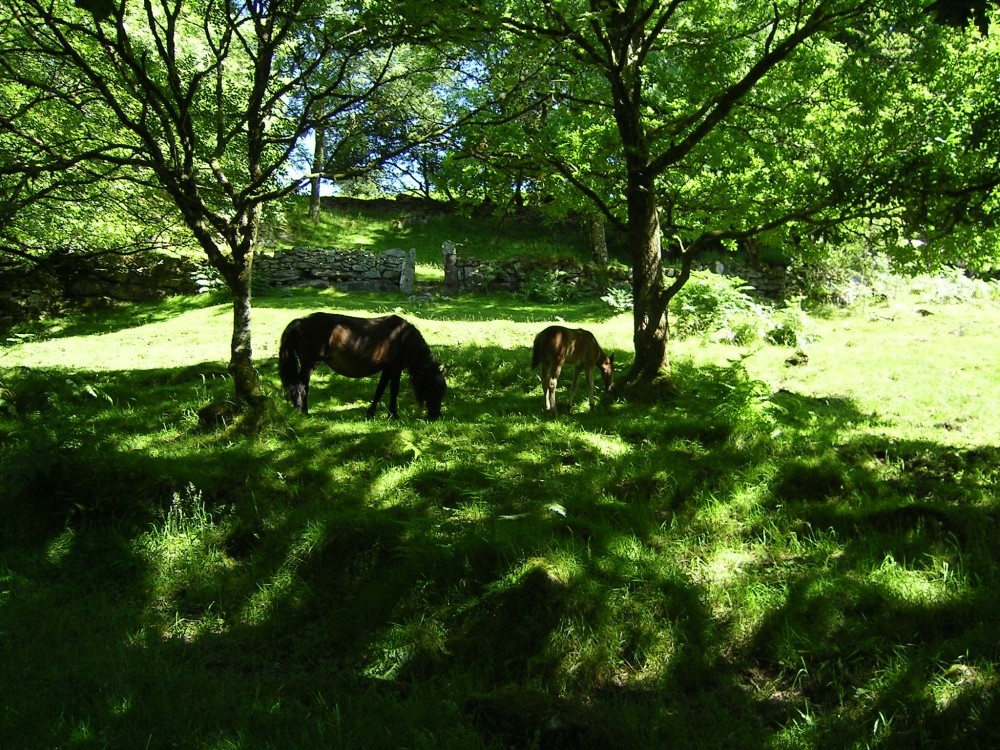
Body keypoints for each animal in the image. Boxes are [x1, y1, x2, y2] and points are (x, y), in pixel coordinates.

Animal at [279, 312, 447, 420]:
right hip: (309, 364)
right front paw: (393, 415)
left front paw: (371, 414)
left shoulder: (387, 369)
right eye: (432, 388)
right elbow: (393, 391)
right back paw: (302, 412)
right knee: (301, 386)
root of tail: (301, 321)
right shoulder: (395, 369)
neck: (403, 338)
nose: (436, 416)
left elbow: (379, 391)